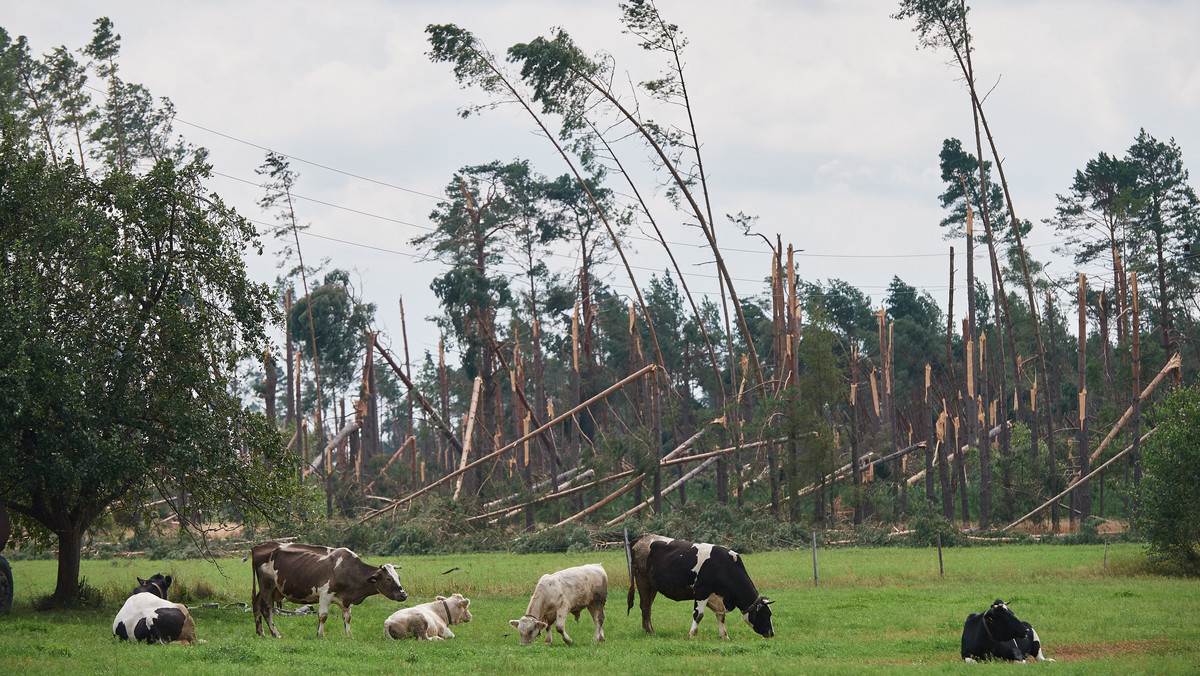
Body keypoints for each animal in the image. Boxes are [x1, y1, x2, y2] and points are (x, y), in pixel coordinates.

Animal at [249, 540, 408, 638]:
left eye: (399, 577)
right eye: (388, 579)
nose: (403, 595)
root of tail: (258, 546)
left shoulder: (346, 600)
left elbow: (347, 618)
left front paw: (349, 636)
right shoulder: (325, 594)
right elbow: (323, 616)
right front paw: (320, 635)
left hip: (272, 588)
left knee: (256, 604)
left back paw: (260, 633)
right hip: (267, 585)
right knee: (266, 609)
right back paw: (276, 634)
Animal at [624, 535, 772, 638]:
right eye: (765, 614)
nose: (772, 633)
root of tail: (641, 537)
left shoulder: (718, 597)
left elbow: (721, 617)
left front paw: (724, 636)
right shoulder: (702, 591)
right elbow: (698, 615)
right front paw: (692, 635)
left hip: (653, 586)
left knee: (647, 607)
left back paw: (648, 631)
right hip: (643, 581)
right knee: (645, 606)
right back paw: (650, 632)